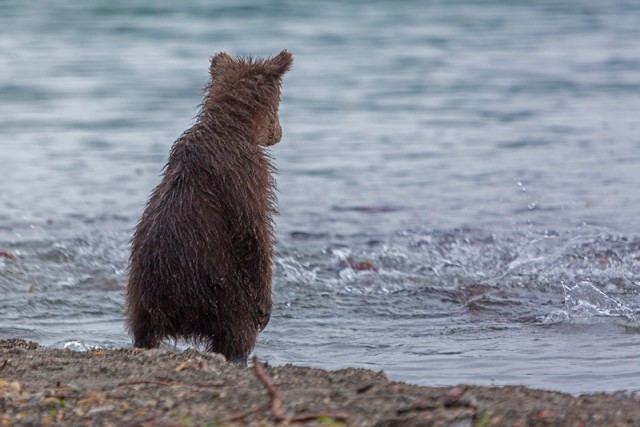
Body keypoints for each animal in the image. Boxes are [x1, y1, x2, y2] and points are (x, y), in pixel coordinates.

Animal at [125, 51, 296, 364]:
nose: (279, 133)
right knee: (238, 329)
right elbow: (254, 232)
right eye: (280, 100)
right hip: (219, 291)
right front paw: (266, 307)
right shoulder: (247, 176)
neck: (233, 127)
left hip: (140, 297)